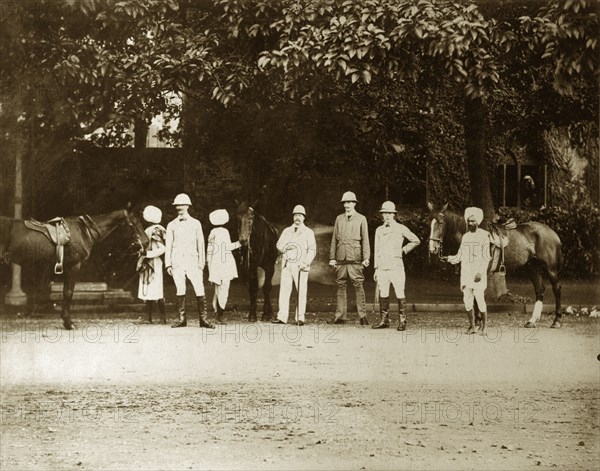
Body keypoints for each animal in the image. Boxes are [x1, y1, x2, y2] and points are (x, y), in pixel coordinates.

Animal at [0, 212, 148, 330]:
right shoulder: (73, 268)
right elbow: (68, 293)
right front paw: (68, 322)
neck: (84, 232)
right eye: (133, 224)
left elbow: (45, 293)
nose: (146, 242)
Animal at [426, 202, 564, 328]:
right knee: (540, 289)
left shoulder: (482, 273)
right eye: (429, 223)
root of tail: (553, 233)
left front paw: (478, 321)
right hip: (532, 267)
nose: (432, 248)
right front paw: (477, 321)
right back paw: (532, 321)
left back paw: (556, 321)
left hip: (551, 268)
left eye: (440, 223)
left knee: (556, 288)